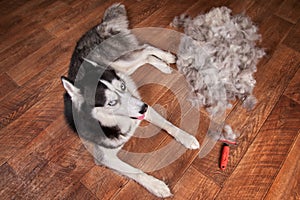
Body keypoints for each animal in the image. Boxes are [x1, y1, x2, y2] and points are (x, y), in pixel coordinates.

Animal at [61, 3, 199, 198]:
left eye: (122, 87)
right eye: (111, 103)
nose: (143, 107)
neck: (116, 122)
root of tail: (99, 27)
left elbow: (168, 124)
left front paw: (185, 137)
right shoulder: (106, 157)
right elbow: (136, 171)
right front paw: (156, 185)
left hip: (119, 64)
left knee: (146, 48)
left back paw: (167, 58)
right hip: (123, 67)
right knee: (145, 55)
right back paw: (163, 65)